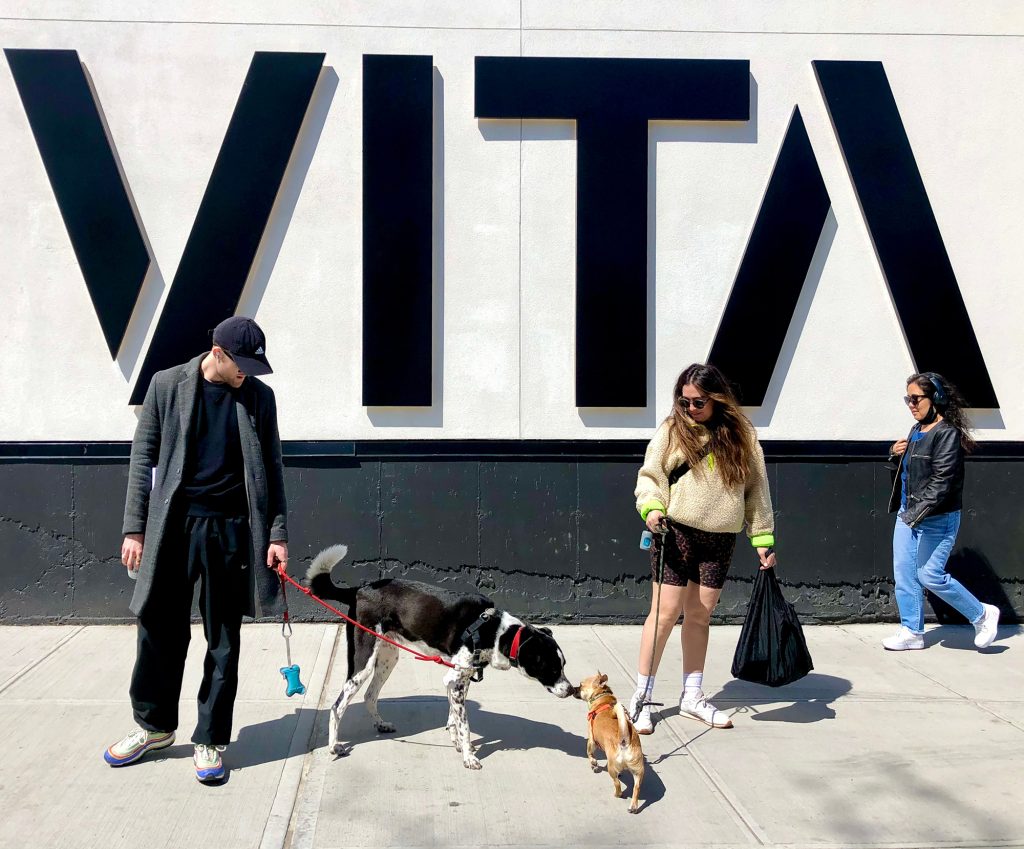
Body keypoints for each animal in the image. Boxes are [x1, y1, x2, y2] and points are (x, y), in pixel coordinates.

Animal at [307, 544, 576, 770]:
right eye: (553, 668)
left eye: (564, 665)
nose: (571, 690)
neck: (497, 632)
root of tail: (360, 590)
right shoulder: (455, 680)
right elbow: (465, 725)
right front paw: (469, 756)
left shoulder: (459, 679)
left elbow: (454, 718)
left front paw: (456, 742)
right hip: (363, 660)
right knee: (338, 705)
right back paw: (334, 746)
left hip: (388, 658)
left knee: (370, 695)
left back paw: (380, 724)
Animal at [575, 672, 645, 813]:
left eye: (581, 685)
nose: (573, 689)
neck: (602, 698)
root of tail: (625, 740)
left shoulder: (591, 740)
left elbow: (590, 754)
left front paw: (594, 764)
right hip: (638, 771)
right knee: (636, 788)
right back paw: (633, 806)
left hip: (611, 768)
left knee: (617, 784)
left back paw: (617, 794)